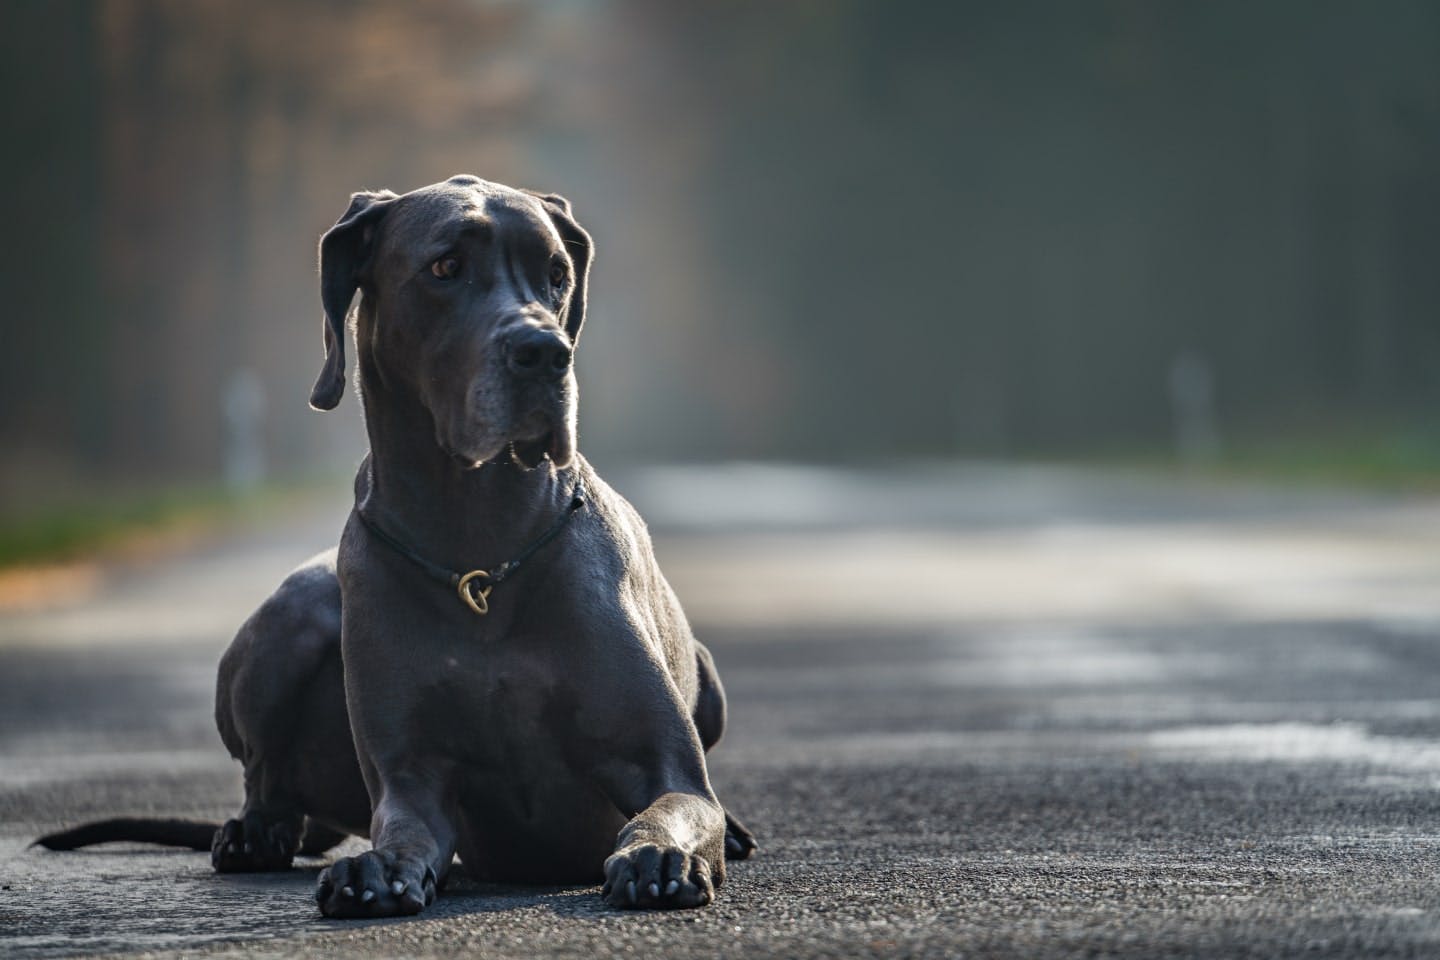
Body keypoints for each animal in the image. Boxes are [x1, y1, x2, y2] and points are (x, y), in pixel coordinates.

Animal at [36, 176, 754, 921]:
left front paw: (657, 855)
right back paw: (255, 831)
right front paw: (374, 871)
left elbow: (671, 807)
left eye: (557, 274)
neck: (478, 545)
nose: (546, 351)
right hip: (293, 615)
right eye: (445, 267)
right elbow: (405, 829)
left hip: (709, 678)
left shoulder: (667, 766)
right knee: (266, 777)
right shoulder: (414, 782)